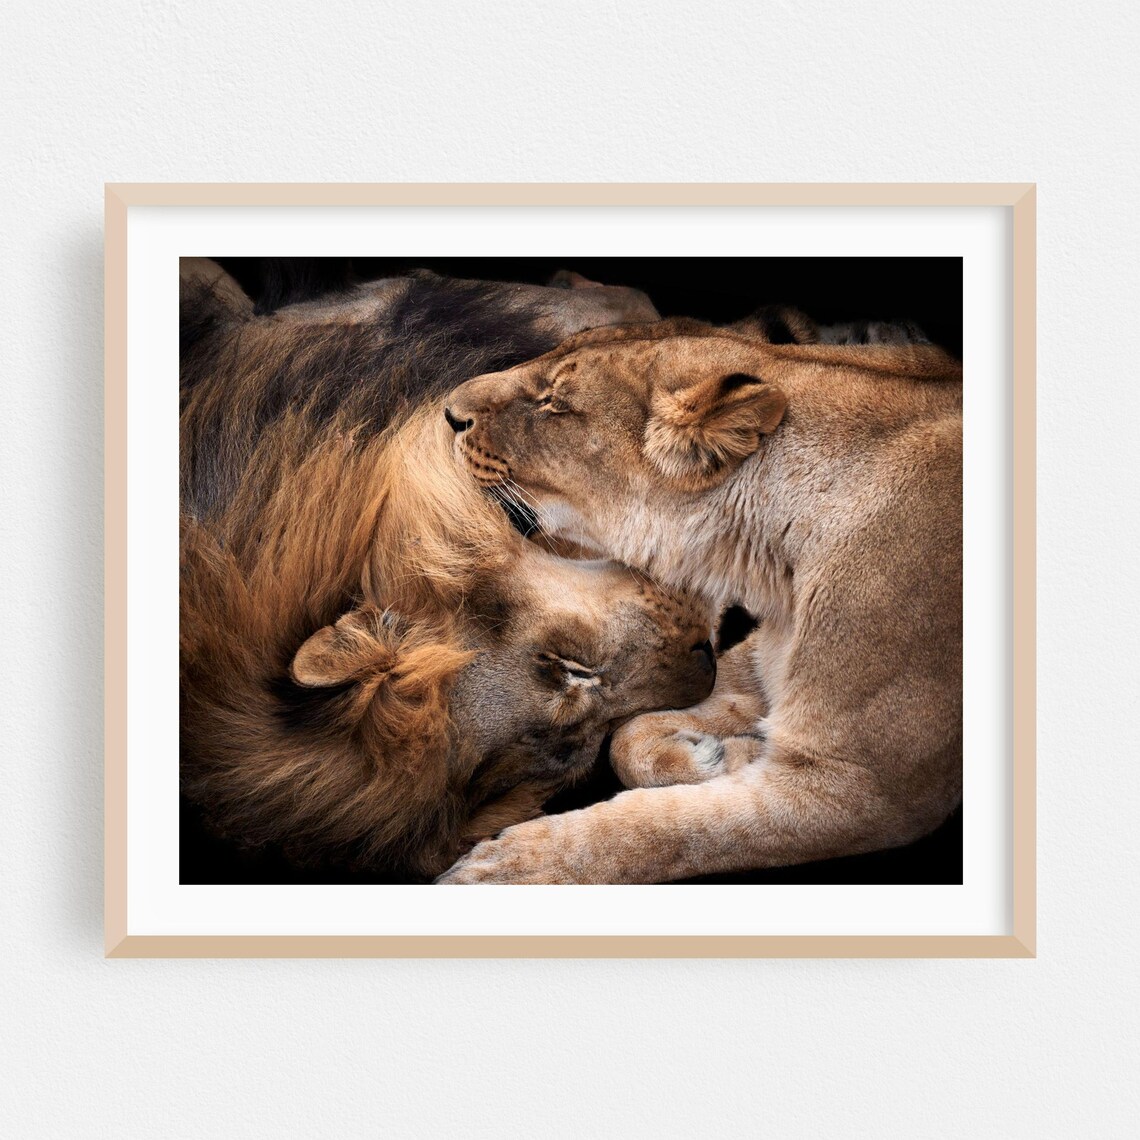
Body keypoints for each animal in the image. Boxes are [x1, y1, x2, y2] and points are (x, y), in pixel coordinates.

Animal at [441, 316, 962, 883]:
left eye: (554, 401)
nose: (446, 412)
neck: (774, 563)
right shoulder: (759, 659)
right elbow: (628, 738)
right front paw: (715, 757)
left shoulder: (862, 786)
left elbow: (674, 830)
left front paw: (513, 866)